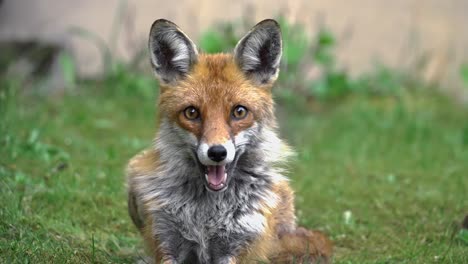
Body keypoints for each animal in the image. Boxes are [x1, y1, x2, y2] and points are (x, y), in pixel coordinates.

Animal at [127, 19, 332, 264]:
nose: (217, 153)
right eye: (191, 113)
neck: (206, 214)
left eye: (239, 112)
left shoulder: (237, 246)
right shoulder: (165, 239)